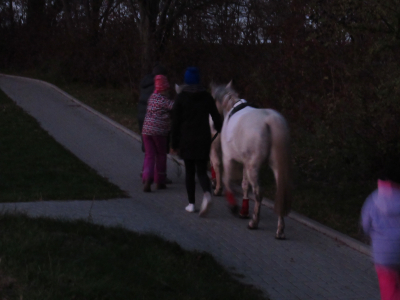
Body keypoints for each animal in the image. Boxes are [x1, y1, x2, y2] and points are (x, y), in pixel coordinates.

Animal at [211, 82, 292, 239]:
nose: (212, 125)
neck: (231, 105)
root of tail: (271, 121)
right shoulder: (245, 163)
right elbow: (244, 185)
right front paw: (243, 210)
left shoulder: (228, 158)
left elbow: (227, 179)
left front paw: (233, 205)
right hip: (275, 166)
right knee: (279, 192)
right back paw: (280, 230)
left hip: (253, 166)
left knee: (258, 192)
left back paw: (254, 222)